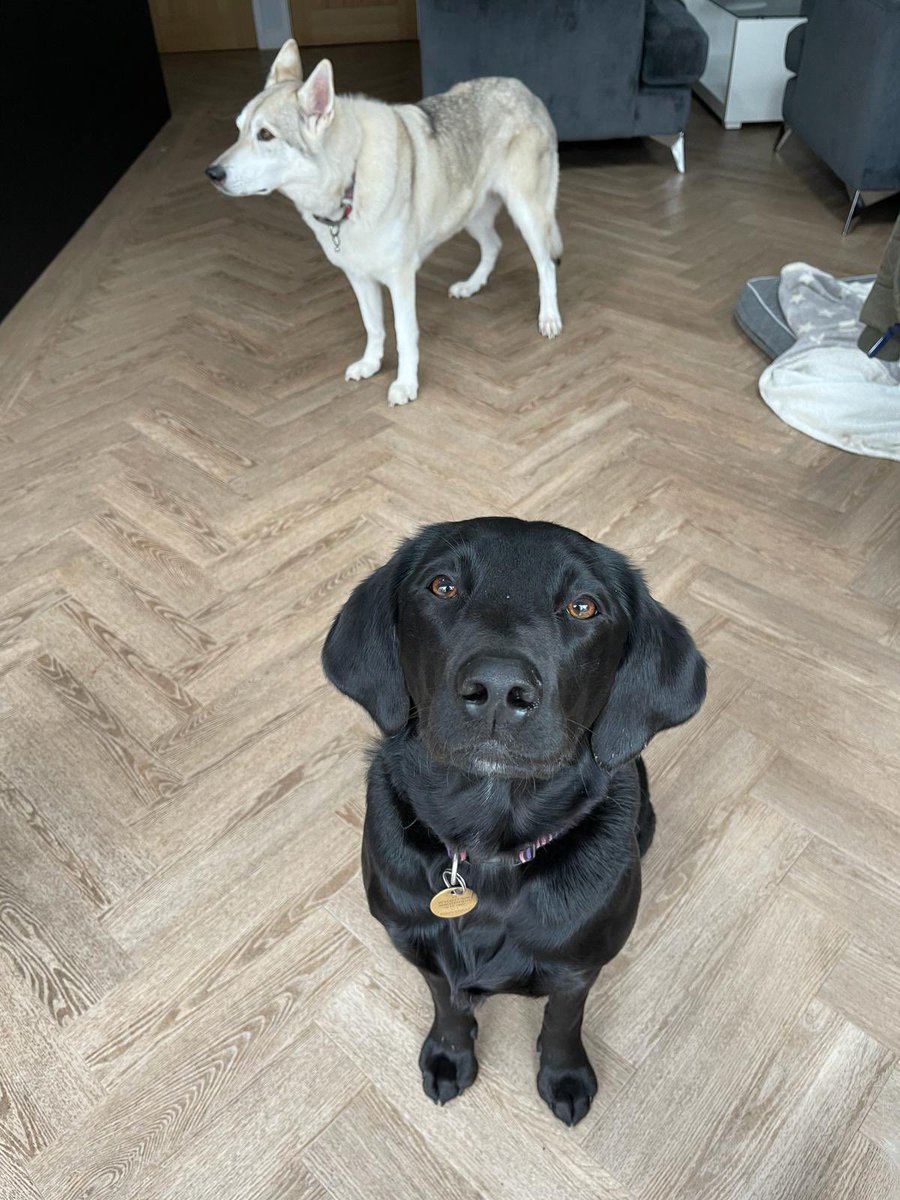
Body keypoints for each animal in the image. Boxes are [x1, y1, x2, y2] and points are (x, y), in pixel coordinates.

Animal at [211, 39, 564, 405]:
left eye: (265, 135)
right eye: (239, 129)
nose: (212, 173)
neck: (350, 182)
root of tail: (523, 88)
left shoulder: (400, 279)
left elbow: (405, 335)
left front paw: (406, 384)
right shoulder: (359, 277)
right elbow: (374, 326)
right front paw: (371, 363)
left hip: (527, 212)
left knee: (545, 265)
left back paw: (549, 317)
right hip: (468, 211)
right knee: (494, 244)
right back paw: (472, 285)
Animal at [321, 516, 710, 1123]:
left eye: (583, 606)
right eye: (442, 587)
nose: (500, 689)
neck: (487, 853)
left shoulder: (579, 968)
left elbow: (563, 1020)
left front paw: (564, 1075)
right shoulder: (420, 947)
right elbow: (448, 1005)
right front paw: (449, 1054)